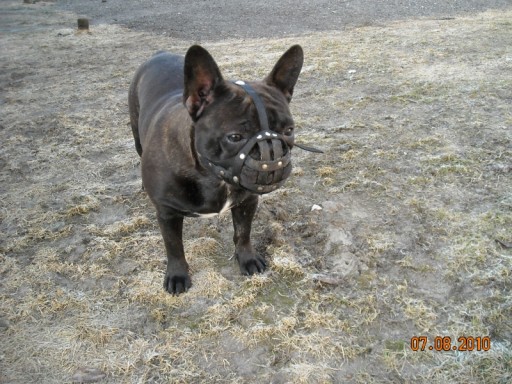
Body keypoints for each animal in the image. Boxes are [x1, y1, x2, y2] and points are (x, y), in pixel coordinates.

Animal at [129, 44, 304, 294]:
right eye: (235, 137)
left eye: (289, 130)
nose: (273, 152)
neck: (211, 176)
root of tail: (159, 54)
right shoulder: (167, 213)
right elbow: (174, 247)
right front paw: (177, 275)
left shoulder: (247, 202)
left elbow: (243, 233)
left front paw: (247, 258)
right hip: (136, 135)